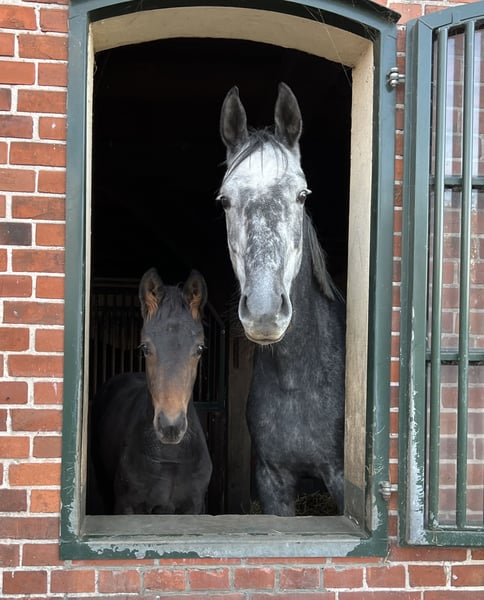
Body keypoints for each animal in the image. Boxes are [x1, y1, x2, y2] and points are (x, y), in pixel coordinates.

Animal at [90, 268, 213, 515]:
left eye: (199, 349)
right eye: (145, 348)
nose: (170, 427)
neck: (170, 458)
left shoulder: (194, 508)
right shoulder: (127, 507)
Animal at [218, 82, 346, 516]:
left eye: (302, 195)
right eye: (224, 200)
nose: (264, 313)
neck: (297, 381)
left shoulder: (341, 479)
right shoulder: (273, 481)